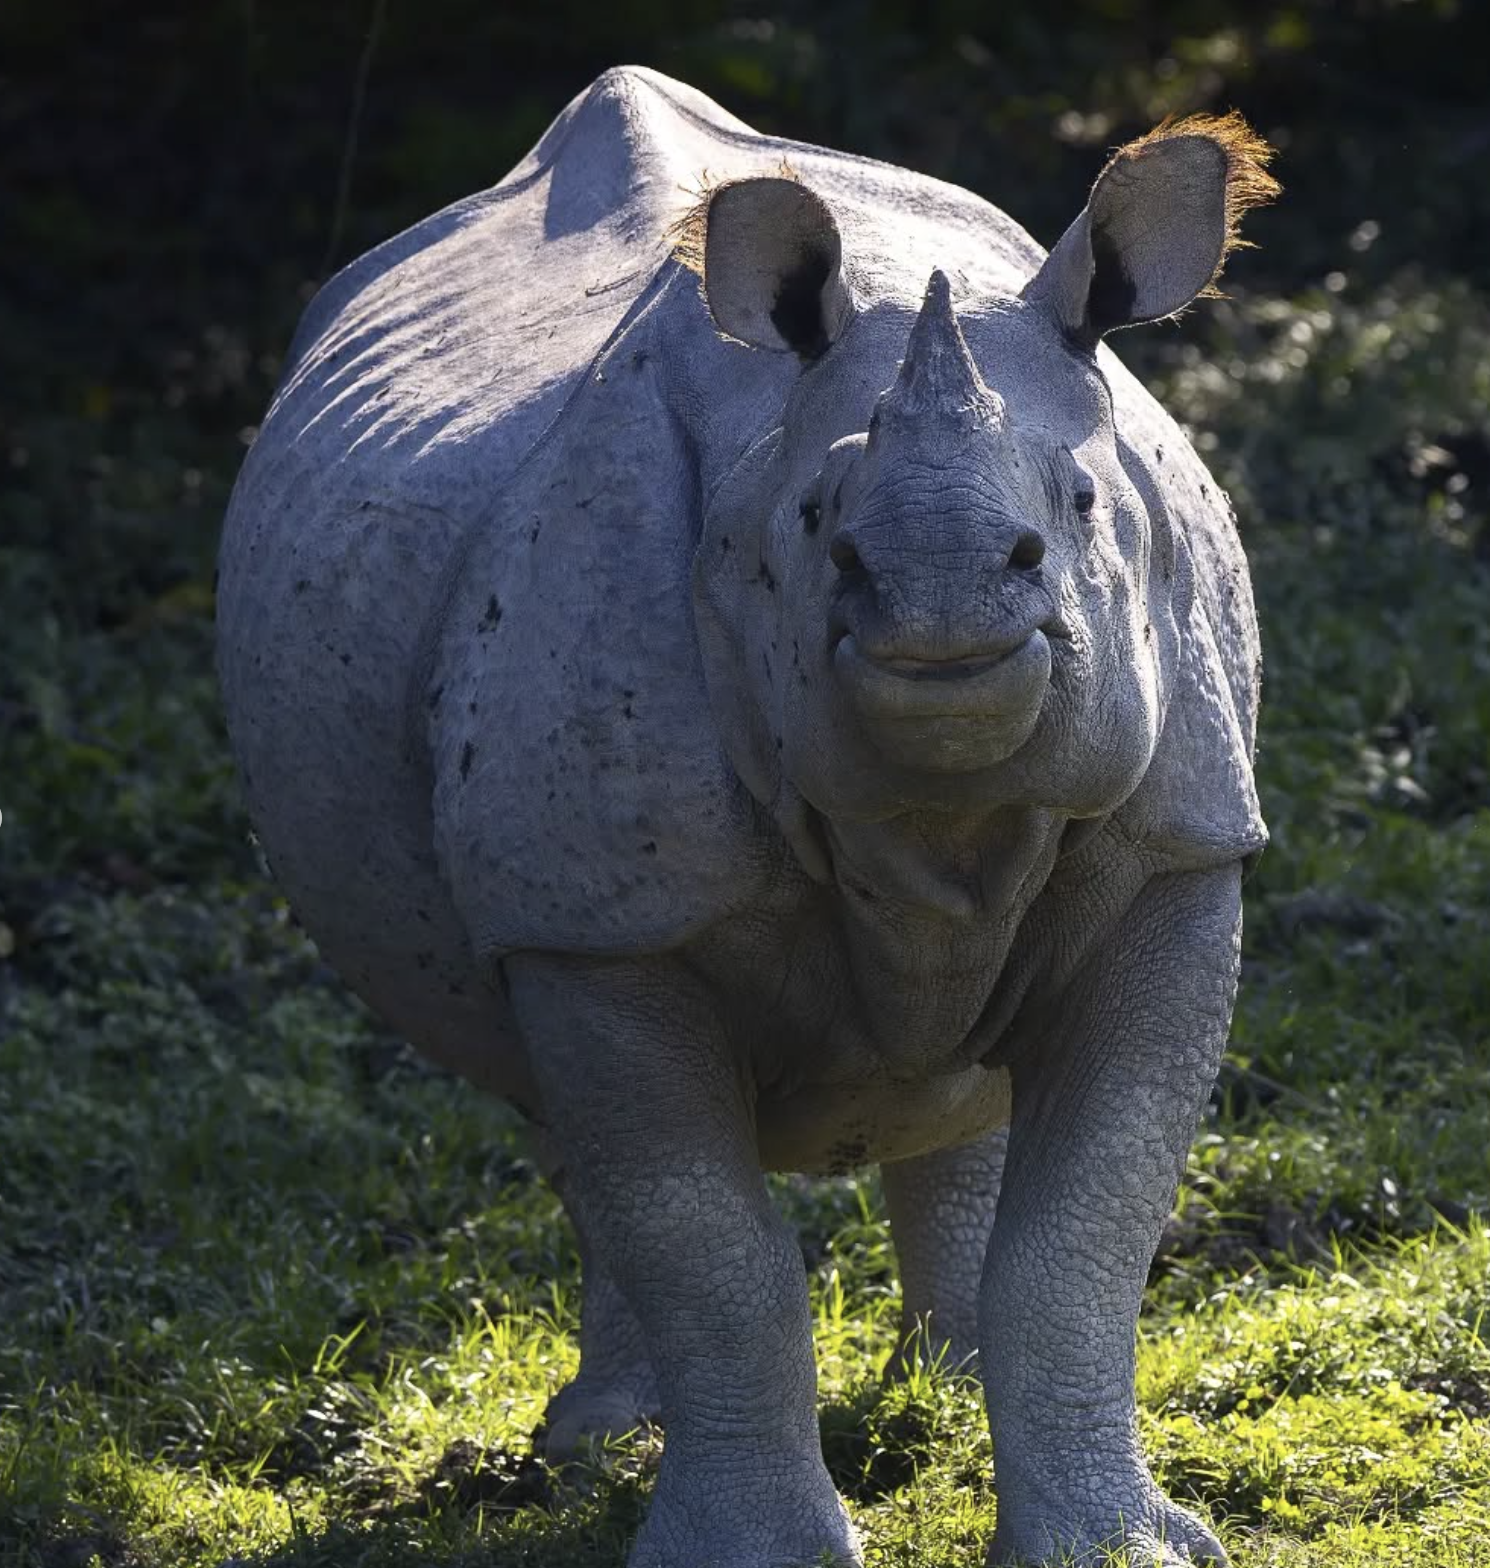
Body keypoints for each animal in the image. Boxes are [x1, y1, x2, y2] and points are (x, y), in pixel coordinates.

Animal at [217, 65, 1277, 1567]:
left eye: (1077, 504)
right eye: (820, 521)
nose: (940, 603)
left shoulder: (1174, 847)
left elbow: (1084, 1231)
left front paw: (1113, 1550)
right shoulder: (601, 905)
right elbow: (706, 1242)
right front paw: (749, 1551)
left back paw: (940, 1387)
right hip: (537, 847)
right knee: (579, 1122)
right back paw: (603, 1447)